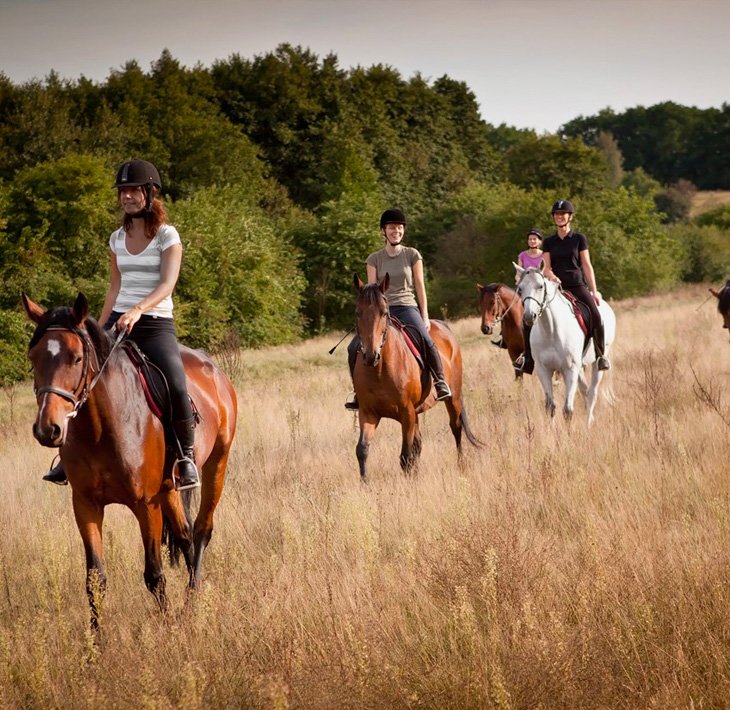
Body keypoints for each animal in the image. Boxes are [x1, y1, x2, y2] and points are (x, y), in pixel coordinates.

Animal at [22, 294, 237, 636]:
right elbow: (94, 579)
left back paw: (192, 601)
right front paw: (96, 643)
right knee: (185, 535)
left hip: (217, 463)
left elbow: (154, 575)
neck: (101, 428)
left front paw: (167, 630)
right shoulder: (86, 505)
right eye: (34, 358)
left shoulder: (145, 505)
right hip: (169, 488)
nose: (48, 429)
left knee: (202, 530)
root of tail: (213, 369)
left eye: (77, 359)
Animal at [352, 274, 480, 484]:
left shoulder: (407, 413)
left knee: (456, 428)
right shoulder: (368, 413)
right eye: (357, 312)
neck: (380, 370)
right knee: (419, 444)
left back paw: (461, 465)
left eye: (384, 313)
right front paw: (365, 484)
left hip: (453, 399)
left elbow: (405, 456)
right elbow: (362, 450)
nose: (370, 356)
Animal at [512, 264, 616, 426]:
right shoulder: (544, 370)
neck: (551, 330)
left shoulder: (570, 369)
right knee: (585, 390)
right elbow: (550, 406)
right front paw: (552, 431)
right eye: (520, 288)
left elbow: (567, 410)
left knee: (592, 392)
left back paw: (588, 424)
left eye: (540, 286)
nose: (529, 316)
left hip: (596, 364)